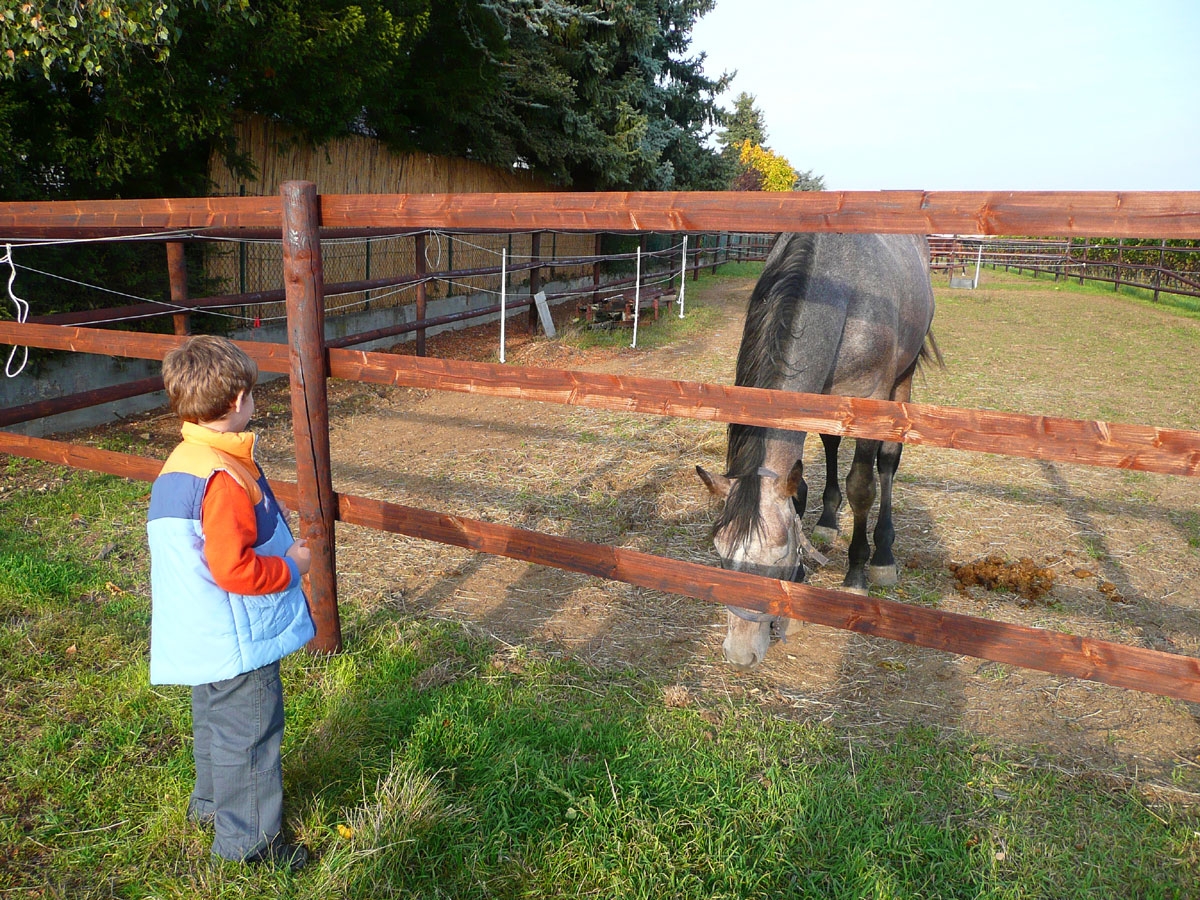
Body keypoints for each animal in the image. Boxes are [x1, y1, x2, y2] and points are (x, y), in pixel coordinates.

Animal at [700, 232, 940, 672]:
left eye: (776, 560)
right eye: (722, 555)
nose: (741, 655)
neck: (837, 292)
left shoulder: (869, 401)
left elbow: (862, 486)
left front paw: (856, 575)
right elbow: (799, 489)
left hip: (903, 378)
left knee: (887, 463)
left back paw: (883, 557)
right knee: (831, 446)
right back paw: (828, 522)